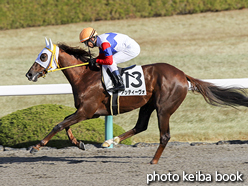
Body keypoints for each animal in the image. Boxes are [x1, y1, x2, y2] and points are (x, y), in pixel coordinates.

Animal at [25, 38, 248, 163]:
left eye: (43, 56)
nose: (29, 74)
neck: (85, 76)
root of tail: (182, 75)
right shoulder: (88, 112)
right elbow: (65, 123)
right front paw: (78, 143)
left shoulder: (86, 111)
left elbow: (58, 124)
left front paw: (36, 147)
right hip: (148, 105)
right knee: (141, 125)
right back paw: (111, 141)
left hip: (164, 108)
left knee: (164, 135)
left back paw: (153, 161)